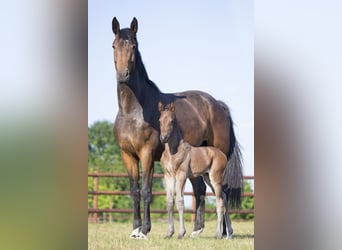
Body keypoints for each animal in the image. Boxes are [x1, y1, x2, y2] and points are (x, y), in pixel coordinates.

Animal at [159, 101, 228, 238]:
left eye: (171, 121)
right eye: (159, 120)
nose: (163, 138)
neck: (173, 151)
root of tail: (223, 155)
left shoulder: (181, 175)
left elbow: (180, 201)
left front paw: (181, 233)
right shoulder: (168, 176)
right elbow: (169, 202)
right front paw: (169, 233)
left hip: (216, 179)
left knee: (219, 202)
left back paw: (218, 234)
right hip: (208, 178)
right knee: (223, 197)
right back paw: (229, 233)